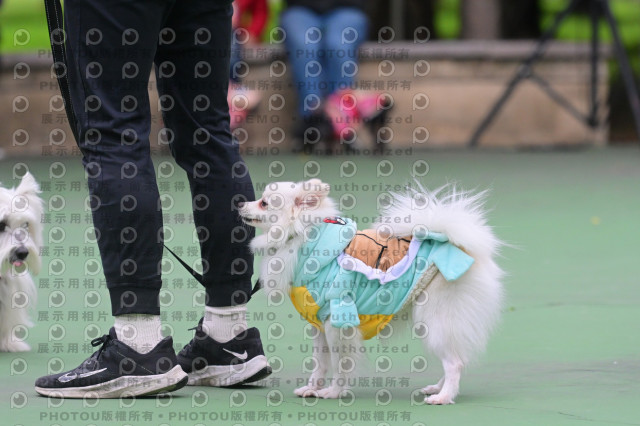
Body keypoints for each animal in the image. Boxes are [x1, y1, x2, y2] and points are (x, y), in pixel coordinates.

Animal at [240, 178, 503, 404]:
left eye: (264, 203)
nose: (240, 203)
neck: (302, 236)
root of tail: (461, 246)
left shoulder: (338, 320)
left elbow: (340, 363)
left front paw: (333, 392)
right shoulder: (320, 323)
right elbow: (320, 362)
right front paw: (312, 388)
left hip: (435, 318)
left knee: (455, 362)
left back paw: (443, 396)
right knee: (457, 357)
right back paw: (437, 389)